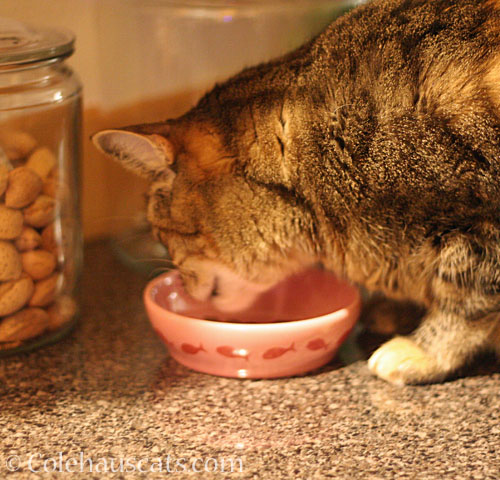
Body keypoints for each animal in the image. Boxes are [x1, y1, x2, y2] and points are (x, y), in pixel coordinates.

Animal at [93, 0, 500, 384]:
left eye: (162, 236)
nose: (183, 286)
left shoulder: (481, 238)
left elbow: (467, 303)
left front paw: (423, 351)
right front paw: (397, 312)